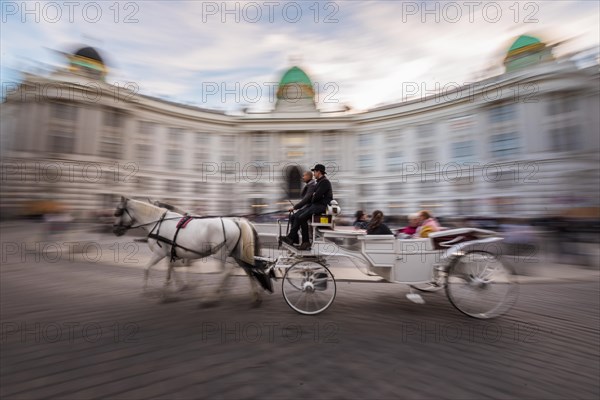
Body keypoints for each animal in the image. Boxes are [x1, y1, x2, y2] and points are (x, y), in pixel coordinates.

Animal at [113, 197, 272, 306]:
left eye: (118, 212)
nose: (114, 229)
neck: (158, 222)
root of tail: (236, 221)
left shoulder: (160, 253)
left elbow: (147, 269)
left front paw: (147, 291)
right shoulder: (172, 254)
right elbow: (171, 271)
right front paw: (174, 290)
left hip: (220, 253)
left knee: (228, 271)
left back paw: (213, 297)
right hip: (237, 253)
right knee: (247, 269)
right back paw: (254, 296)